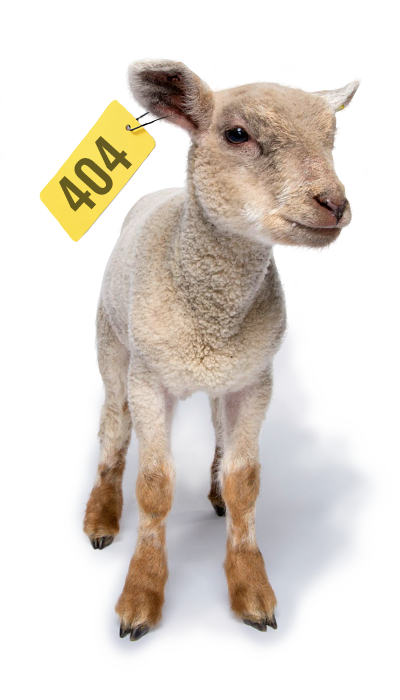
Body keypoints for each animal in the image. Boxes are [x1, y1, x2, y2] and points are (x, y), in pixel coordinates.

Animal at [83, 57, 362, 641]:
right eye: (237, 134)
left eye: (331, 136)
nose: (333, 203)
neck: (210, 314)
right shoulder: (149, 381)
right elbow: (155, 486)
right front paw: (140, 595)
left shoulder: (254, 381)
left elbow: (245, 483)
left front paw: (250, 588)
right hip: (113, 345)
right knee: (113, 428)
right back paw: (100, 517)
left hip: (224, 377)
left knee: (214, 432)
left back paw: (210, 490)